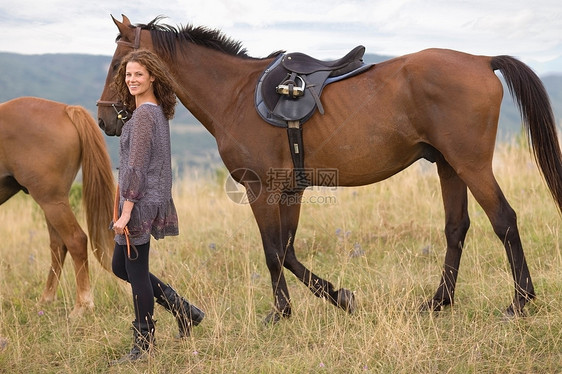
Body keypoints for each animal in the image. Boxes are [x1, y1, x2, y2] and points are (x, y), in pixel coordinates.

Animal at [0, 97, 115, 318]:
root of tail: (66, 109)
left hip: (51, 201)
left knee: (76, 240)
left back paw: (82, 306)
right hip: (52, 203)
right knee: (59, 245)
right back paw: (46, 300)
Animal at [98, 16, 560, 322]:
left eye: (120, 65)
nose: (105, 119)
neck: (235, 95)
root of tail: (482, 60)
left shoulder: (261, 189)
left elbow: (272, 252)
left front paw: (281, 312)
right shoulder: (290, 190)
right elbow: (287, 251)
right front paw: (340, 297)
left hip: (470, 163)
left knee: (504, 220)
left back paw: (520, 301)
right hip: (448, 165)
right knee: (456, 228)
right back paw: (437, 302)